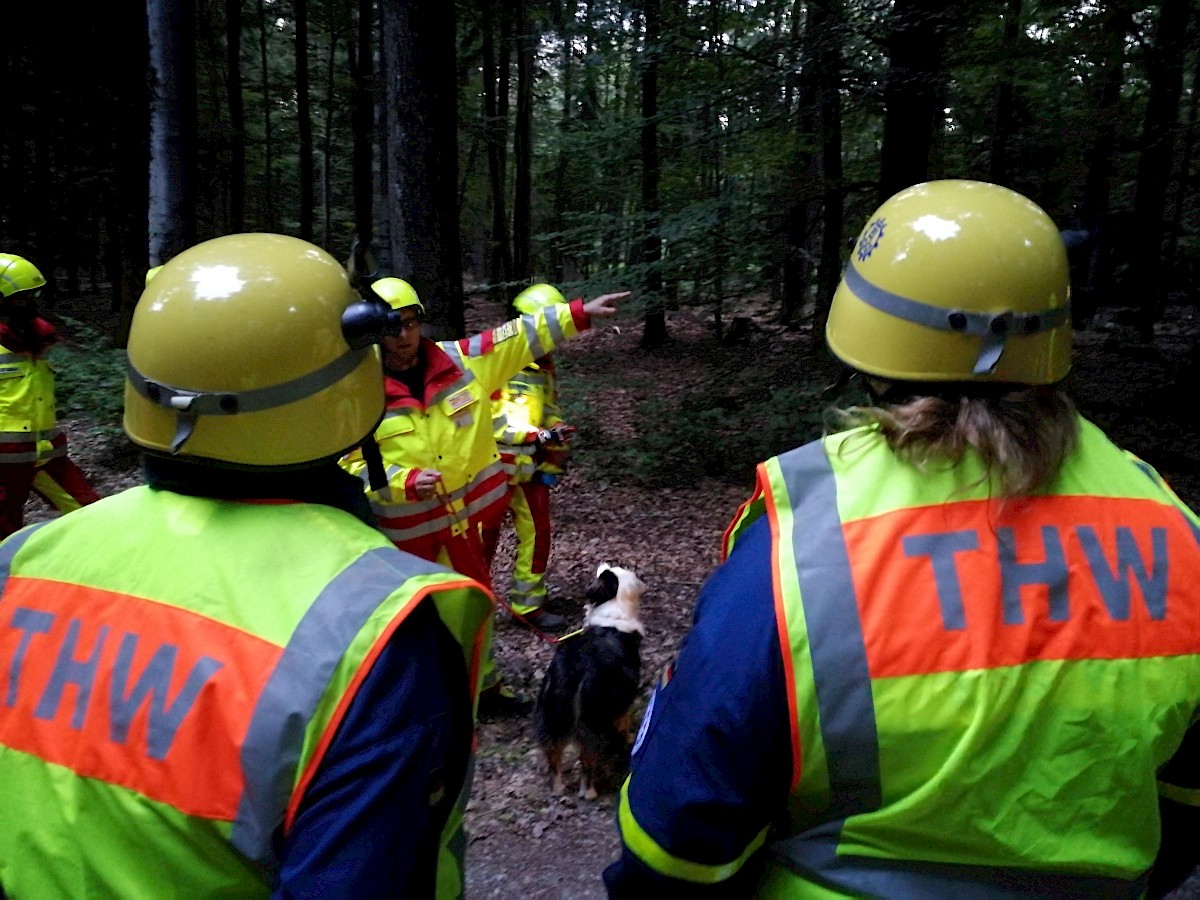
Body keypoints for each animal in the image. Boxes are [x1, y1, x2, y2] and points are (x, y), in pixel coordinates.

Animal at [535, 561, 648, 801]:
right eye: (608, 571)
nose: (603, 562)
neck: (613, 606)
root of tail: (571, 673)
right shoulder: (625, 697)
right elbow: (624, 721)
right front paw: (628, 738)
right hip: (592, 720)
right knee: (587, 760)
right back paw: (589, 791)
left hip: (552, 716)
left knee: (554, 759)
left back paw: (558, 788)